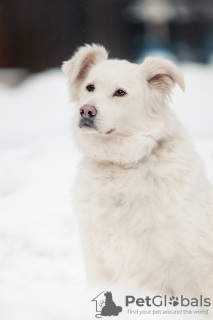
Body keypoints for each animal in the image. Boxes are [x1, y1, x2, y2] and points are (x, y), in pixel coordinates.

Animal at [61, 43, 213, 298]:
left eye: (120, 92)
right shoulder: (99, 260)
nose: (86, 111)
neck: (122, 166)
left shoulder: (190, 262)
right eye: (90, 87)